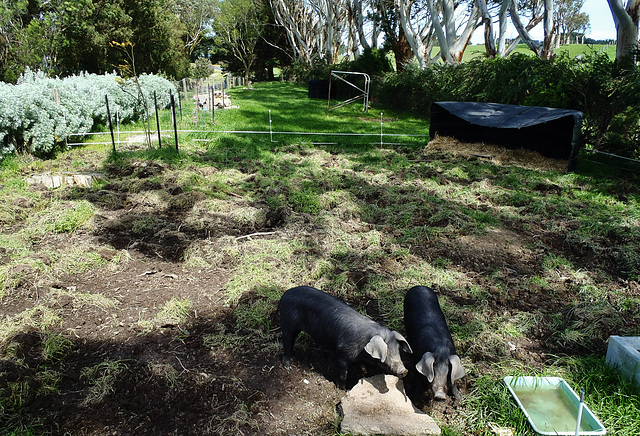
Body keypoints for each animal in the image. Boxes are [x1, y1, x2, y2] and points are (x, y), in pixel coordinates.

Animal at [278, 286, 412, 388]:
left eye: (398, 350)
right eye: (387, 352)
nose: (404, 371)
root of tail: (285, 294)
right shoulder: (343, 353)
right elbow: (343, 373)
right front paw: (342, 388)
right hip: (288, 322)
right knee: (287, 341)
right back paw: (288, 366)